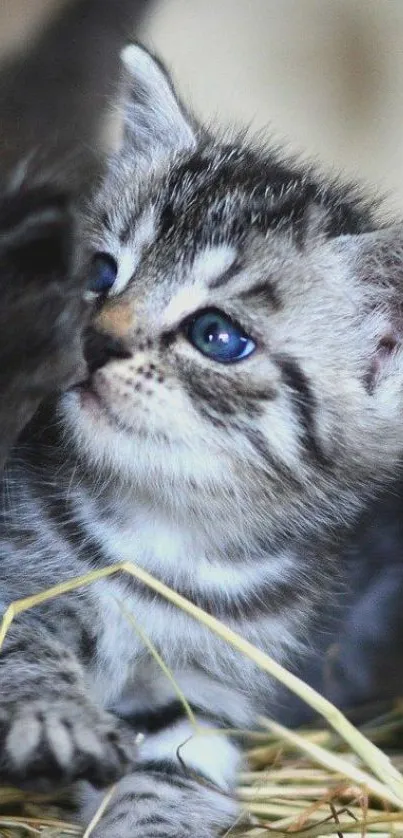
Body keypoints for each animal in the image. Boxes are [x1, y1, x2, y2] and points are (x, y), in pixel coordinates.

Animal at [2, 47, 403, 838]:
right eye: (101, 273)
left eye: (217, 335)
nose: (96, 341)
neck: (168, 531)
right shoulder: (16, 569)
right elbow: (25, 639)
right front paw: (52, 713)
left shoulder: (205, 689)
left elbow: (171, 774)